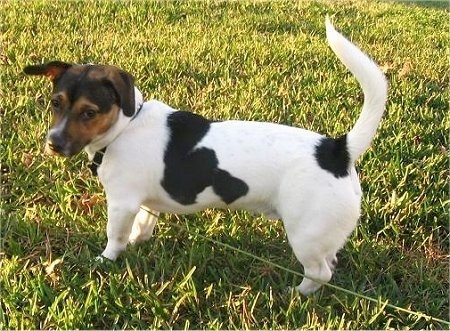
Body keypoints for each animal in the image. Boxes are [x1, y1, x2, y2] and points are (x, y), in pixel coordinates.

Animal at [22, 17, 386, 296]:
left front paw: (105, 260)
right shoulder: (144, 203)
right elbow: (143, 225)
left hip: (305, 234)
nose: (53, 144)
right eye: (55, 103)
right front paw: (139, 242)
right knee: (329, 261)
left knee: (320, 272)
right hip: (322, 231)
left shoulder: (122, 203)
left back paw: (296, 294)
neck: (127, 125)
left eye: (89, 112)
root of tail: (337, 150)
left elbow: (116, 236)